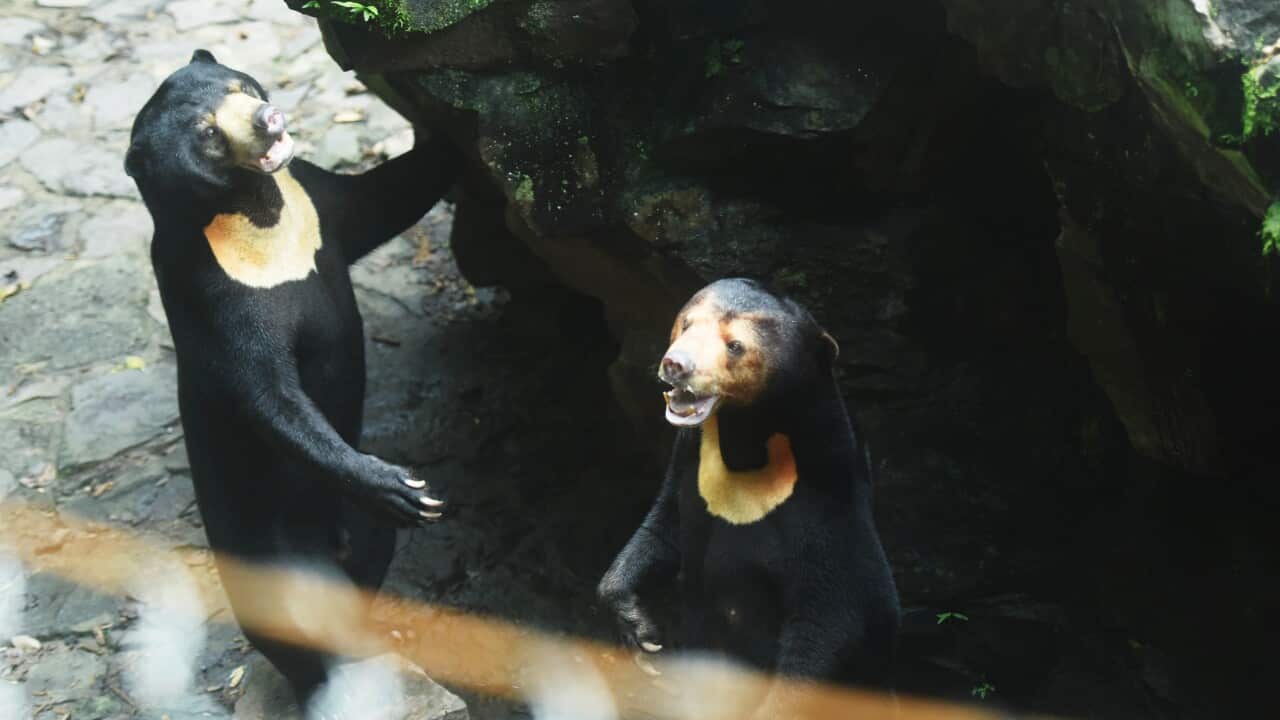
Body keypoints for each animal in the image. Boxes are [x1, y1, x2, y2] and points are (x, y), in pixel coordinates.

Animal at [125, 50, 461, 707]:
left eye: (239, 85)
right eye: (206, 133)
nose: (269, 118)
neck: (259, 212)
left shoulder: (317, 202)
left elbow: (388, 194)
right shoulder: (213, 294)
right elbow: (268, 395)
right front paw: (402, 487)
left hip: (355, 533)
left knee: (367, 561)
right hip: (270, 555)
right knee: (299, 626)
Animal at [597, 278, 901, 717]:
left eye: (735, 345)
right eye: (687, 324)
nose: (675, 364)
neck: (745, 442)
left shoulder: (829, 497)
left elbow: (830, 613)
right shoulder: (689, 460)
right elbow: (663, 526)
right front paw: (642, 634)